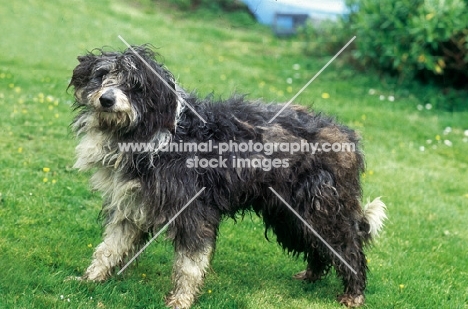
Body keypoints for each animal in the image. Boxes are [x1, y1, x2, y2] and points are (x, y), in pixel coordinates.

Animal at [68, 44, 384, 306]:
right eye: (102, 75)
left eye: (135, 85)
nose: (107, 100)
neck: (156, 133)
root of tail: (347, 136)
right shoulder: (132, 204)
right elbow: (110, 246)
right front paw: (90, 279)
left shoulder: (194, 210)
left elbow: (190, 263)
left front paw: (181, 299)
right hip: (289, 214)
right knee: (318, 245)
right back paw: (312, 275)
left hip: (321, 210)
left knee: (348, 245)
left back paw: (354, 293)